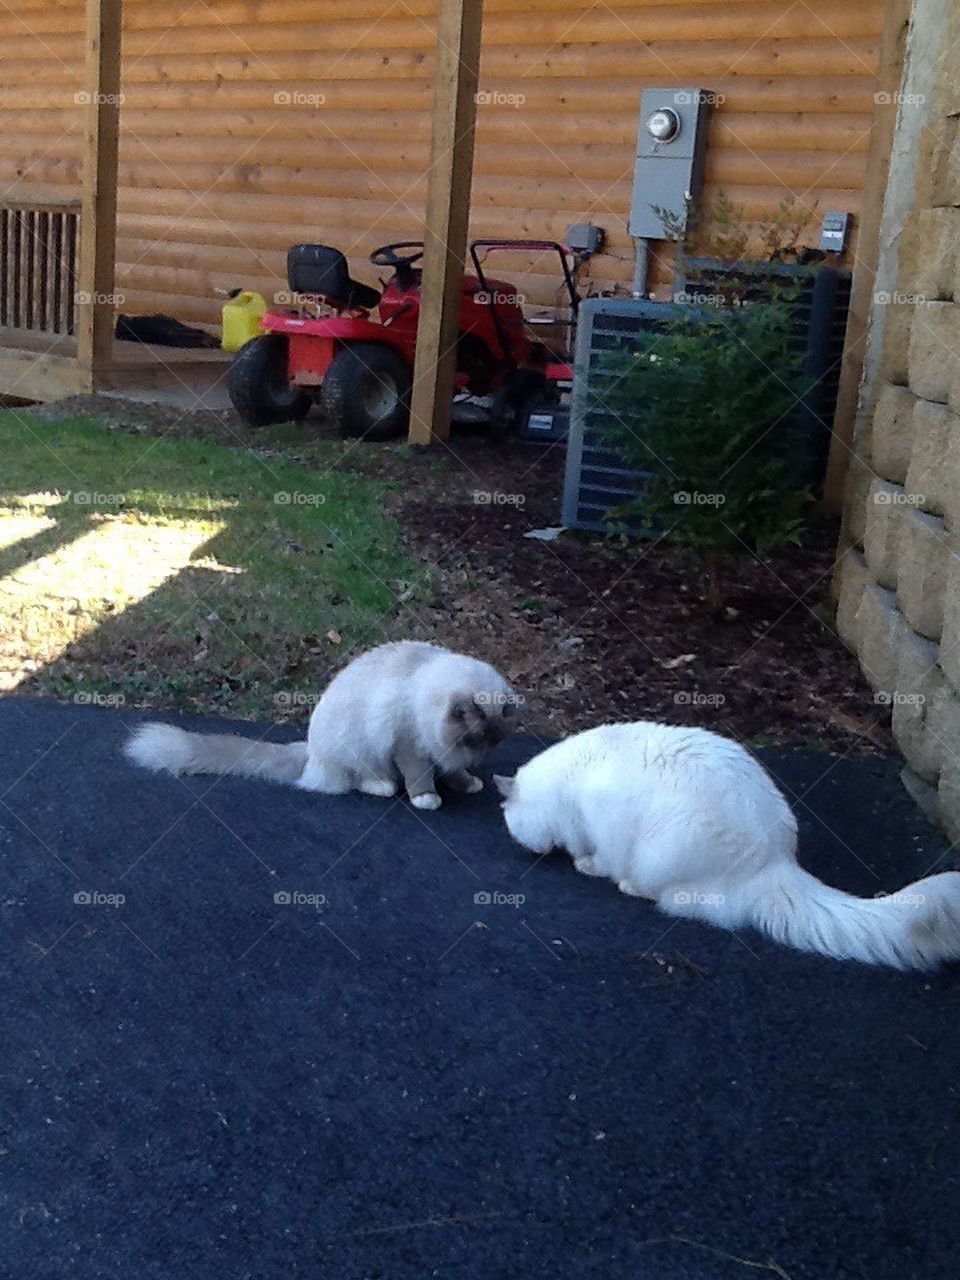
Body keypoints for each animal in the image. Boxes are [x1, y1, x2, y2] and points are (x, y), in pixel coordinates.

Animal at [128, 640, 522, 808]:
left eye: (493, 737)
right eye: (477, 732)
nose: (483, 752)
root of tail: (309, 752)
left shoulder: (441, 751)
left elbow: (451, 772)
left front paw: (466, 783)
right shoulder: (409, 744)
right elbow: (419, 776)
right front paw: (428, 798)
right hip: (359, 751)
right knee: (359, 781)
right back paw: (383, 787)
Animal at [496, 721, 960, 967]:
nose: (525, 849)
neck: (568, 776)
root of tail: (776, 863)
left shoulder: (603, 823)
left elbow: (598, 854)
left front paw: (585, 863)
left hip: (661, 856)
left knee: (674, 900)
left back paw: (630, 886)